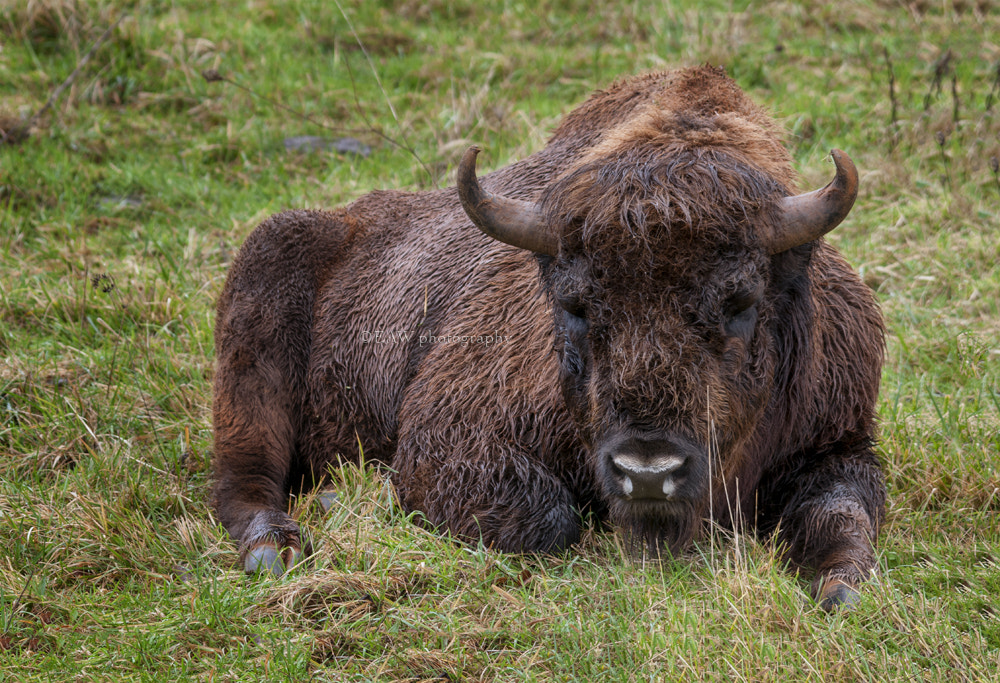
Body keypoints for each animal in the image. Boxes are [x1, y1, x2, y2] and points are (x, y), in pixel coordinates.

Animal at [212, 65, 886, 610]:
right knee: (245, 479)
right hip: (255, 335)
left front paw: (841, 589)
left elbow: (843, 514)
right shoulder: (448, 436)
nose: (647, 471)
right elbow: (550, 519)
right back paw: (279, 543)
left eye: (741, 302)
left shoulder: (842, 442)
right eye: (574, 305)